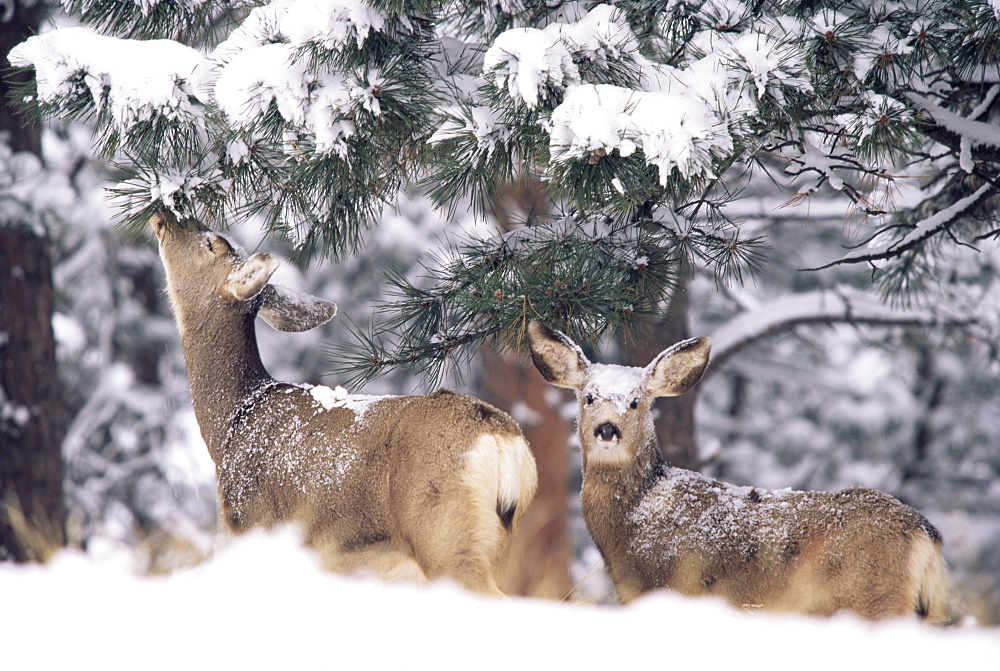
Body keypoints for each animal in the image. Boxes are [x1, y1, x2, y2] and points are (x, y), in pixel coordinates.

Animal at [148, 214, 536, 592]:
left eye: (211, 243)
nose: (165, 212)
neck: (232, 424)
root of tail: (504, 438)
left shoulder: (253, 527)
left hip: (444, 536)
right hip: (495, 545)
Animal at [528, 322, 948, 624]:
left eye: (635, 402)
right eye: (588, 397)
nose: (607, 429)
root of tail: (925, 533)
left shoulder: (676, 587)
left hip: (872, 596)